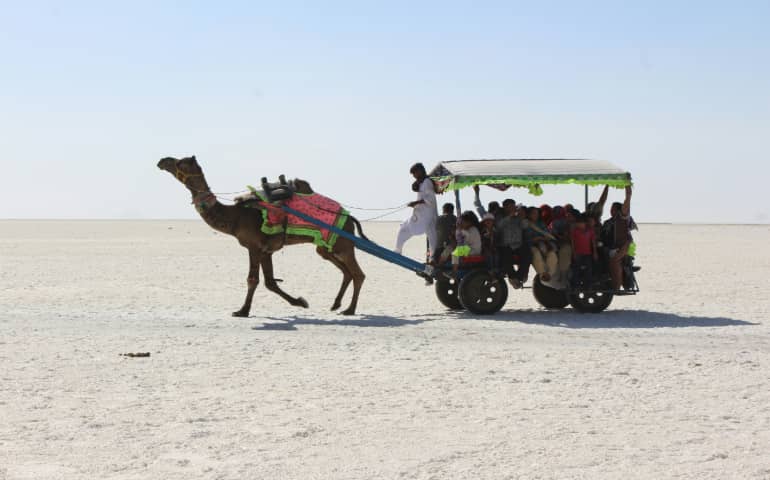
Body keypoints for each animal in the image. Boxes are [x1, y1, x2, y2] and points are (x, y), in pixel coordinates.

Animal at [157, 156, 366, 316]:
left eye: (181, 162)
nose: (162, 161)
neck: (235, 216)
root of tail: (349, 217)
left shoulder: (254, 247)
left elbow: (253, 280)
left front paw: (242, 311)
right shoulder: (267, 251)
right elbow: (270, 282)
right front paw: (300, 302)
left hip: (343, 243)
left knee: (358, 274)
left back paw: (349, 310)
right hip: (325, 246)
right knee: (346, 272)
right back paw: (336, 304)